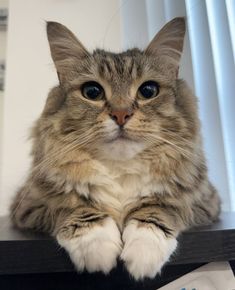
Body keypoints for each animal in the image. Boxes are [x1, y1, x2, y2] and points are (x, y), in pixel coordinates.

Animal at [10, 17, 220, 280]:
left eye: (148, 91)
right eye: (92, 92)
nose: (121, 114)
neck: (120, 169)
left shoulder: (205, 203)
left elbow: (159, 206)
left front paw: (144, 249)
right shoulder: (28, 207)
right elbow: (74, 205)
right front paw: (96, 244)